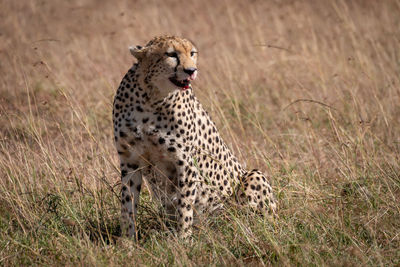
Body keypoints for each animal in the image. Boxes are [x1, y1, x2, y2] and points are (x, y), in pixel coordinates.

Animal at [111, 36, 276, 241]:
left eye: (192, 53)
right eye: (171, 54)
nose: (191, 71)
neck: (151, 97)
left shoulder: (185, 162)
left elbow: (185, 204)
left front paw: (183, 240)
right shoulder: (130, 160)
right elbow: (128, 203)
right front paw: (127, 241)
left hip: (253, 177)